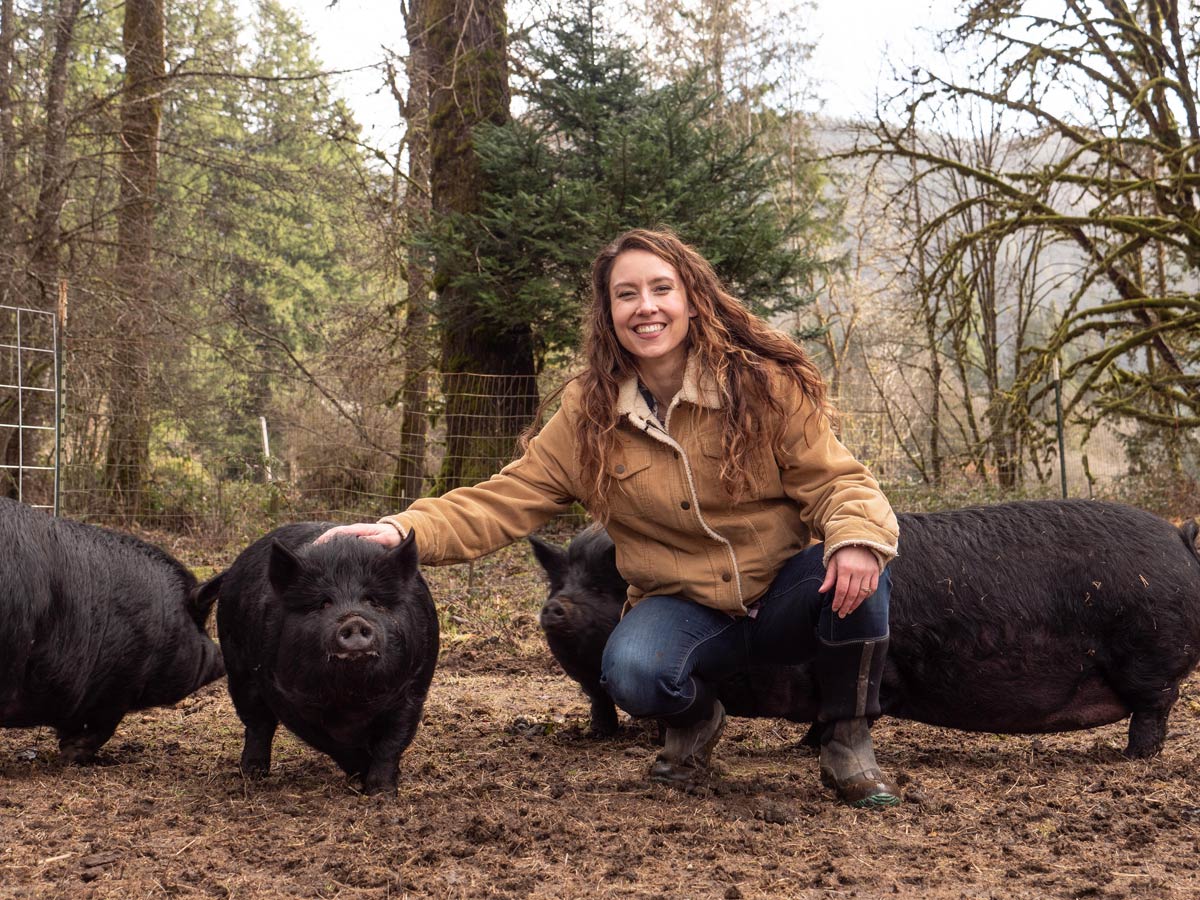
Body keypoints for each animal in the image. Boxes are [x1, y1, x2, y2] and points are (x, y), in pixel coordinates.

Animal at [218, 525, 439, 801]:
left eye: (372, 601)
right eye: (324, 603)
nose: (353, 621)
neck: (353, 697)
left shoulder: (413, 687)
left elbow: (392, 741)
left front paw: (382, 793)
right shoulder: (285, 697)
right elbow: (333, 744)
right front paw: (362, 778)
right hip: (238, 669)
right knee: (258, 723)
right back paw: (252, 774)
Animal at [530, 501, 1200, 763]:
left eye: (606, 585)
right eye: (560, 579)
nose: (554, 610)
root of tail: (1180, 537)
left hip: (1150, 652)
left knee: (1155, 708)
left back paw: (1133, 756)